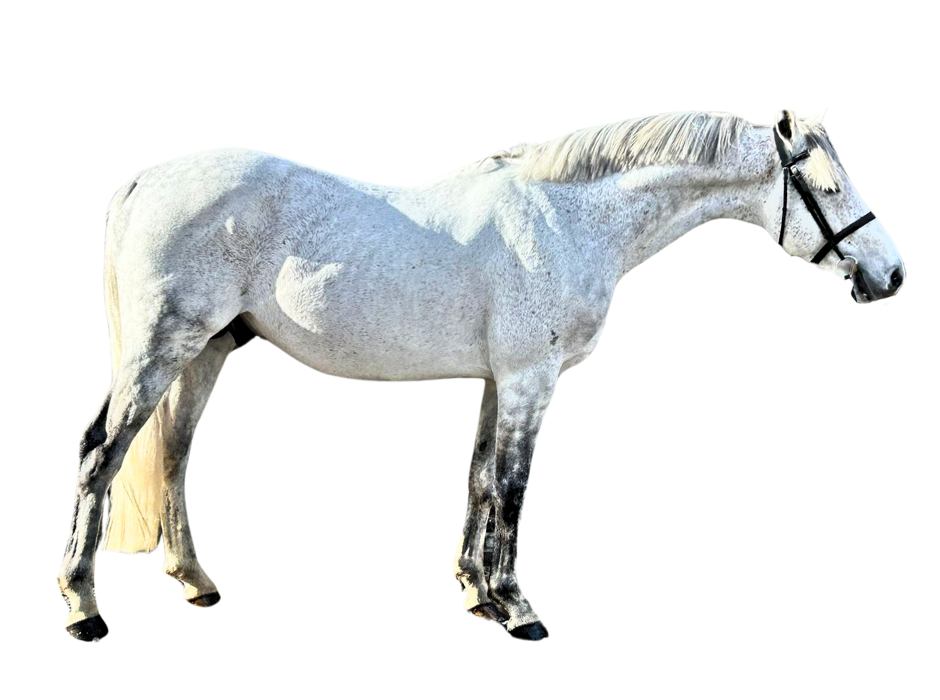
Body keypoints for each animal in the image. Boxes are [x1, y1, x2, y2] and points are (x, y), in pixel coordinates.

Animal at [56, 107, 906, 643]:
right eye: (829, 188)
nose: (892, 275)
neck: (567, 221)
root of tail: (145, 182)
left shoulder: (501, 379)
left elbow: (478, 479)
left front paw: (474, 592)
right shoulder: (532, 377)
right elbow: (513, 484)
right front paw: (518, 607)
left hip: (206, 350)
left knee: (171, 457)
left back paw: (196, 581)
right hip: (160, 349)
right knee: (103, 452)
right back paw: (82, 607)